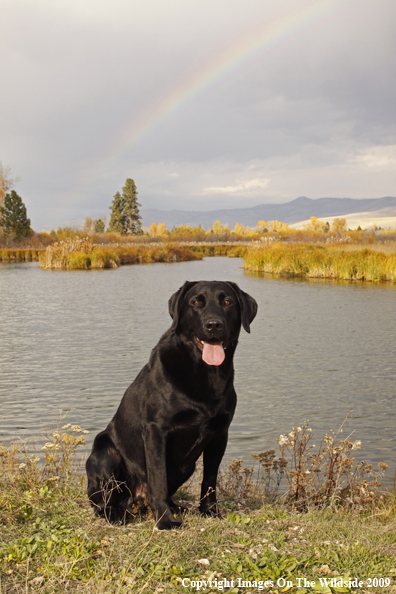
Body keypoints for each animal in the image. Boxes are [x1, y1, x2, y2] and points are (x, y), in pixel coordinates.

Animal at [86, 280, 256, 528]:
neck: (205, 373)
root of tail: (134, 502)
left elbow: (210, 480)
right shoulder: (156, 431)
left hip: (187, 465)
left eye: (227, 302)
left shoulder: (220, 433)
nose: (213, 324)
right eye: (196, 302)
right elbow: (158, 480)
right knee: (101, 502)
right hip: (105, 452)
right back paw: (117, 514)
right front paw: (165, 520)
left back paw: (177, 507)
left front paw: (210, 511)